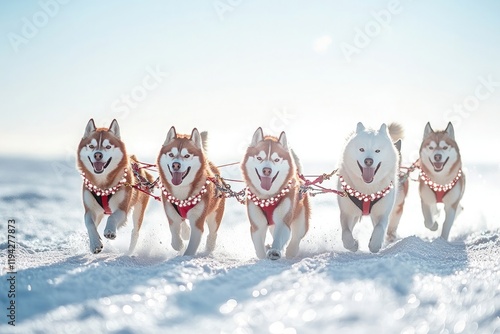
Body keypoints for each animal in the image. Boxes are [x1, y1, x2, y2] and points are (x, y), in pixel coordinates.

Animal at [77, 119, 151, 253]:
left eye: (108, 146)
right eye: (91, 146)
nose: (98, 155)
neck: (102, 186)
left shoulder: (123, 208)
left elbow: (113, 217)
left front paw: (110, 231)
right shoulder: (90, 209)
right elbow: (89, 224)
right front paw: (95, 243)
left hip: (139, 209)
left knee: (135, 232)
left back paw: (129, 252)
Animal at [157, 126, 226, 256]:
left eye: (187, 156)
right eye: (171, 154)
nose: (176, 165)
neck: (182, 192)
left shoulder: (198, 221)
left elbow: (192, 244)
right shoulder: (171, 212)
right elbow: (174, 233)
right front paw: (179, 243)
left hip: (215, 214)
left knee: (213, 232)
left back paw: (209, 246)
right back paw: (185, 232)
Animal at [241, 126, 310, 260]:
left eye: (276, 160)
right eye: (259, 158)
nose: (267, 170)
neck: (268, 197)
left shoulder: (283, 220)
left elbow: (280, 237)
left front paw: (275, 251)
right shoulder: (257, 225)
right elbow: (259, 248)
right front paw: (264, 255)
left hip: (301, 219)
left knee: (296, 237)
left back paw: (290, 251)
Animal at [336, 122, 402, 253]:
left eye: (377, 151)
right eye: (362, 149)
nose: (368, 161)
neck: (367, 190)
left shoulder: (383, 212)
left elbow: (380, 228)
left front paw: (375, 244)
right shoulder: (347, 212)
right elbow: (346, 233)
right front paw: (353, 244)